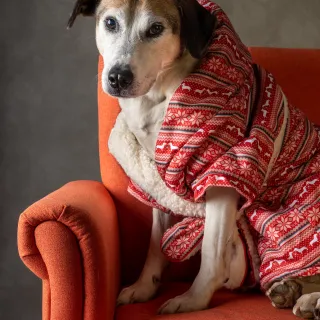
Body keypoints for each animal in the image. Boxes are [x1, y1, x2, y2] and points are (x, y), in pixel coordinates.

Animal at [68, 0, 320, 318]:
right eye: (110, 23)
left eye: (156, 28)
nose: (118, 77)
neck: (159, 97)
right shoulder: (158, 177)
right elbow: (155, 244)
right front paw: (144, 287)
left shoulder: (223, 178)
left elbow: (212, 253)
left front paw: (193, 300)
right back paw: (291, 291)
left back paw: (309, 300)